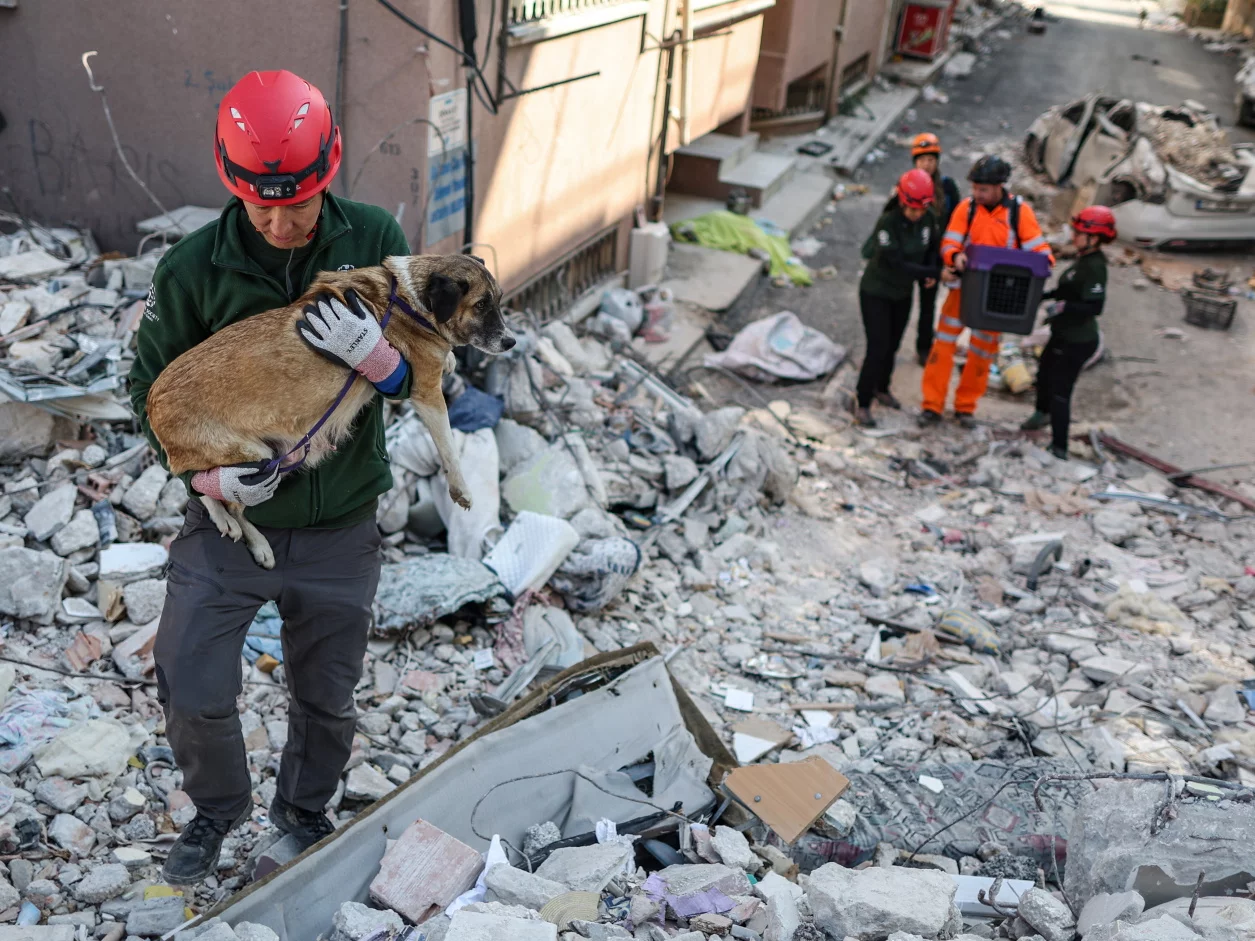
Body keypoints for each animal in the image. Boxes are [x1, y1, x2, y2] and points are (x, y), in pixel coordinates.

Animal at [146, 252, 514, 567]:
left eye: (496, 301)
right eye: (481, 305)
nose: (511, 342)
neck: (408, 299)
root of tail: (152, 404)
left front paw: (451, 359)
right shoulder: (427, 393)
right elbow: (449, 446)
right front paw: (461, 489)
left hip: (285, 453)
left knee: (201, 486)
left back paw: (223, 518)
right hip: (258, 463)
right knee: (225, 499)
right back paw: (257, 543)